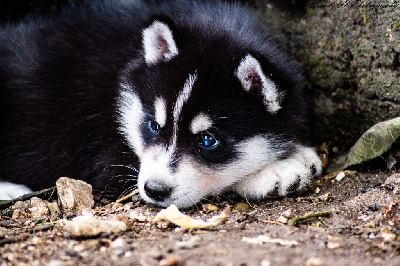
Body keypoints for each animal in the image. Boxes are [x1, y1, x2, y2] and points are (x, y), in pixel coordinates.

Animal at [0, 0, 320, 208]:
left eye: (208, 140)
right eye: (153, 125)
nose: (154, 190)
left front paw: (297, 152)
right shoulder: (107, 155)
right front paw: (274, 171)